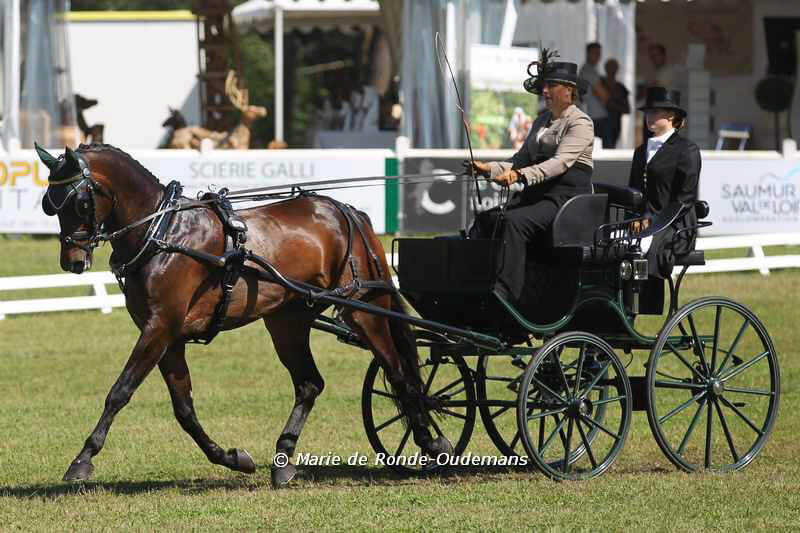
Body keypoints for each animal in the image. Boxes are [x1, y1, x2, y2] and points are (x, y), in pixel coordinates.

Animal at [35, 143, 452, 487]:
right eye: (49, 204)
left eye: (78, 202)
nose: (73, 262)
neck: (163, 231)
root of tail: (346, 211)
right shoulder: (168, 336)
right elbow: (184, 409)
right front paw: (233, 458)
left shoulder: (159, 328)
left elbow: (120, 391)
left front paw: (82, 460)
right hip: (287, 321)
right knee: (309, 384)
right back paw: (283, 460)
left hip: (362, 311)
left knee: (397, 372)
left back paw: (432, 443)